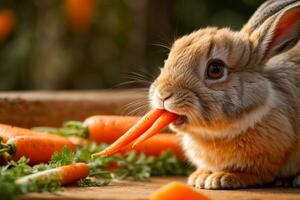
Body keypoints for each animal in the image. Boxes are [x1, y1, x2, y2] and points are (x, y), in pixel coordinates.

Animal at [150, 0, 300, 189]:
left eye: (215, 70)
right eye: (166, 60)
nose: (163, 95)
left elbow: (257, 174)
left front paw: (222, 178)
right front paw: (199, 177)